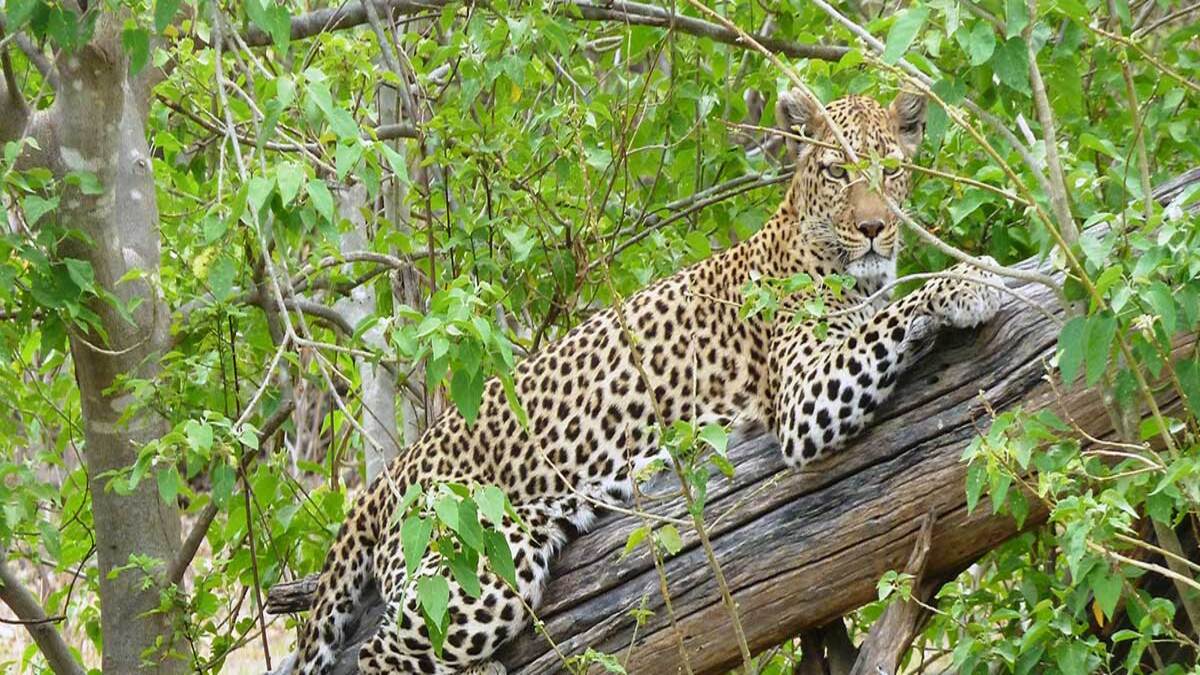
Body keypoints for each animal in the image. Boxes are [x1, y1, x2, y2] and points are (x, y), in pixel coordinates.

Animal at [290, 89, 1003, 672]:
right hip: (482, 560)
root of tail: (391, 473)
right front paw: (969, 281)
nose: (876, 228)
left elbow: (883, 311)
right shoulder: (804, 393)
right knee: (380, 651)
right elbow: (888, 318)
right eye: (837, 172)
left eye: (891, 170)